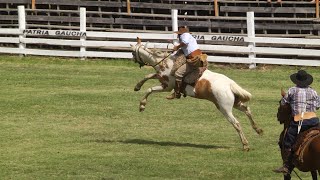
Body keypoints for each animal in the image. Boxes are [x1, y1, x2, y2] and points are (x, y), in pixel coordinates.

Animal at [130, 37, 262, 150]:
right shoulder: (160, 78)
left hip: (225, 108)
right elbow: (148, 76)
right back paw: (258, 129)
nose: (133, 60)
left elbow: (150, 89)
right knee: (247, 110)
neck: (165, 64)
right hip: (235, 103)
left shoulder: (167, 86)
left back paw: (245, 145)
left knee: (236, 123)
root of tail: (230, 84)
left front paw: (142, 105)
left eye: (132, 53)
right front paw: (137, 86)